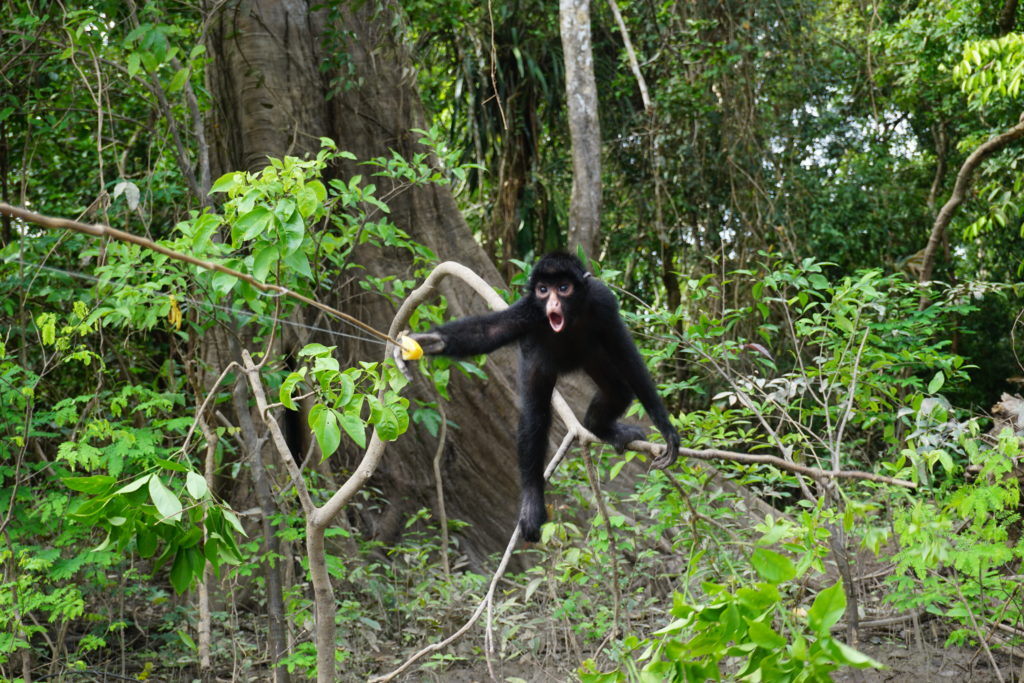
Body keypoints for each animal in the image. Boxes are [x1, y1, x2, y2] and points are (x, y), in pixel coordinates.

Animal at [407, 248, 679, 540]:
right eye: (543, 290)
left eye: (563, 288)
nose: (553, 303)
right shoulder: (529, 310)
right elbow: (489, 332)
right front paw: (434, 342)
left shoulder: (603, 301)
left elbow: (627, 357)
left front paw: (667, 430)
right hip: (539, 362)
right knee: (535, 416)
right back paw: (532, 502)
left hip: (591, 355)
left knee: (617, 390)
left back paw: (598, 428)